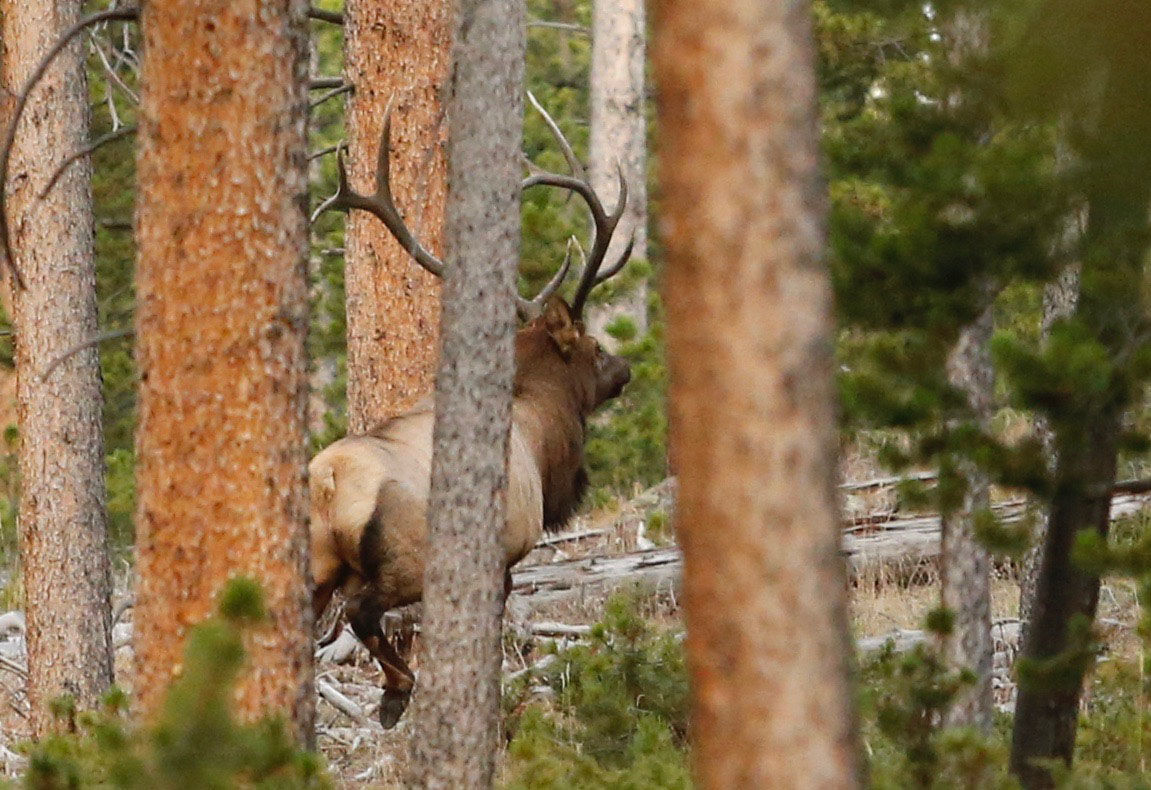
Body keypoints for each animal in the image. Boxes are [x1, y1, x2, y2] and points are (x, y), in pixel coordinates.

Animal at [310, 99, 635, 732]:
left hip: (309, 569)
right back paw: (397, 691)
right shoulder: (506, 550)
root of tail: (329, 483)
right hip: (407, 560)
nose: (626, 368)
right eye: (594, 347)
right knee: (362, 611)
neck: (540, 436)